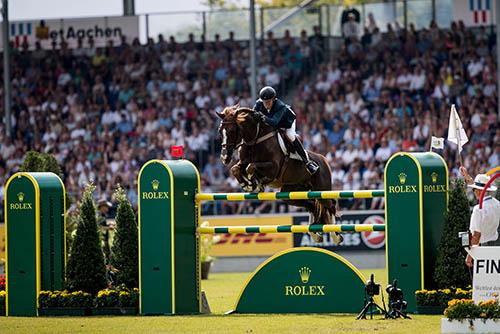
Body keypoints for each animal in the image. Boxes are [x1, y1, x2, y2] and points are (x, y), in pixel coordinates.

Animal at [217, 105, 342, 244]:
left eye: (232, 130)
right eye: (220, 131)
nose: (225, 158)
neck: (255, 139)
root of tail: (324, 160)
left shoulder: (273, 167)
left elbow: (251, 167)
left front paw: (254, 184)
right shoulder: (243, 163)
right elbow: (236, 169)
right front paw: (248, 184)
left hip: (322, 190)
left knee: (330, 204)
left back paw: (336, 236)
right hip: (289, 192)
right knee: (312, 205)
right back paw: (315, 234)